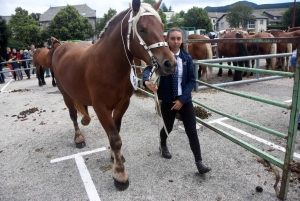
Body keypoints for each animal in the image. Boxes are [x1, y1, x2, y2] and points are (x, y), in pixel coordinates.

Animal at [51, 0, 176, 191]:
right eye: (142, 29)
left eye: (162, 27)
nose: (170, 64)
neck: (109, 64)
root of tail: (61, 46)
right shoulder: (101, 108)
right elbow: (115, 139)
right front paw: (120, 175)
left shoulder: (122, 104)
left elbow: (116, 132)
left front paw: (115, 156)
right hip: (66, 94)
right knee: (73, 115)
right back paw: (78, 137)